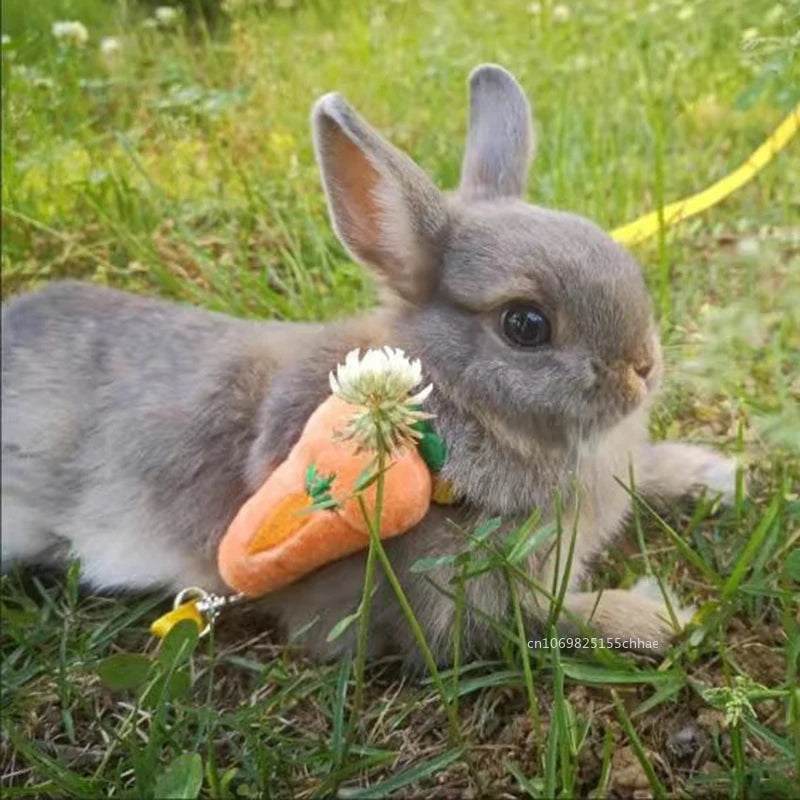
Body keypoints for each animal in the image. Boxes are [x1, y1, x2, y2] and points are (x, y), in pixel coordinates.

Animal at [1, 64, 736, 664]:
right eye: (525, 325)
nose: (643, 367)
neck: (447, 406)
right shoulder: (460, 602)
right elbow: (549, 622)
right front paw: (658, 616)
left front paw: (714, 475)